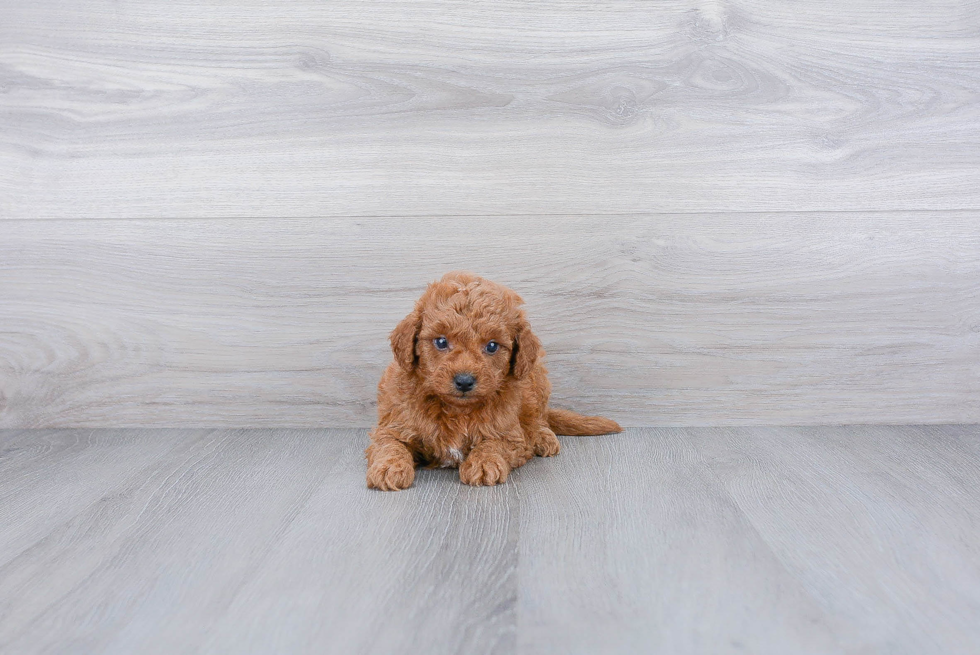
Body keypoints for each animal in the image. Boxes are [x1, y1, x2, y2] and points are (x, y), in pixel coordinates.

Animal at [368, 270, 620, 490]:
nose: (464, 381)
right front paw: (389, 467)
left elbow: (494, 442)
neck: (457, 410)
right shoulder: (393, 424)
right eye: (441, 342)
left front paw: (483, 462)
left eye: (491, 346)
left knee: (539, 416)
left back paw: (543, 437)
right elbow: (390, 444)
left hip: (535, 379)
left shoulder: (511, 435)